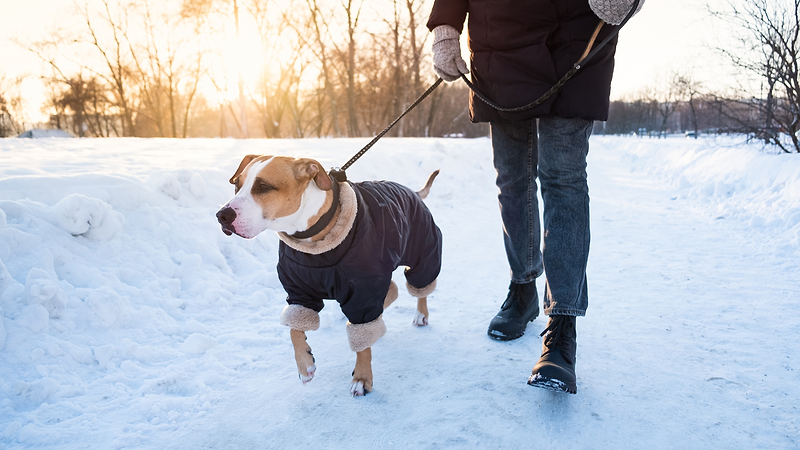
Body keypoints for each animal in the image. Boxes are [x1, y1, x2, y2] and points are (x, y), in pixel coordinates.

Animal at [217, 156, 444, 396]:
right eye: (237, 185)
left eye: (263, 187)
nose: (222, 215)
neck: (312, 240)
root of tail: (412, 191)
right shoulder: (299, 292)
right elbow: (295, 329)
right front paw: (304, 364)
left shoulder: (363, 291)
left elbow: (362, 342)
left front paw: (362, 378)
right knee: (390, 290)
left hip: (424, 251)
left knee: (421, 285)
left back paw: (421, 315)